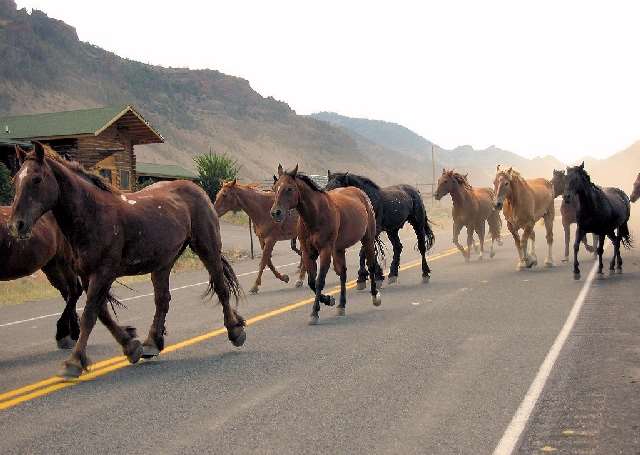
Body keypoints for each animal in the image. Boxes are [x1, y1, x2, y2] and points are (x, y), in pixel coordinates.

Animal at [0, 207, 83, 350]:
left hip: (65, 261)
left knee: (74, 290)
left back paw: (64, 334)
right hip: (51, 265)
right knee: (67, 292)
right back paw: (72, 334)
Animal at [10, 144, 245, 380]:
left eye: (37, 179)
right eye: (15, 180)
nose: (17, 225)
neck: (93, 213)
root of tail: (197, 190)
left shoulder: (103, 273)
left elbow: (89, 315)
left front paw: (74, 362)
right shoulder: (88, 275)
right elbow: (102, 314)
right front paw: (131, 346)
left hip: (207, 249)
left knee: (221, 288)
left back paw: (235, 330)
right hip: (163, 263)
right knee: (162, 300)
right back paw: (152, 343)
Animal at [270, 166, 380, 326]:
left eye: (289, 189)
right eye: (274, 188)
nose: (275, 213)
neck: (315, 216)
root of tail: (359, 193)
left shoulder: (325, 251)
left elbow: (319, 281)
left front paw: (314, 313)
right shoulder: (308, 252)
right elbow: (311, 282)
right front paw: (329, 300)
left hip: (367, 239)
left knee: (371, 265)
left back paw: (375, 296)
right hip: (339, 249)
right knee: (343, 273)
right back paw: (341, 305)